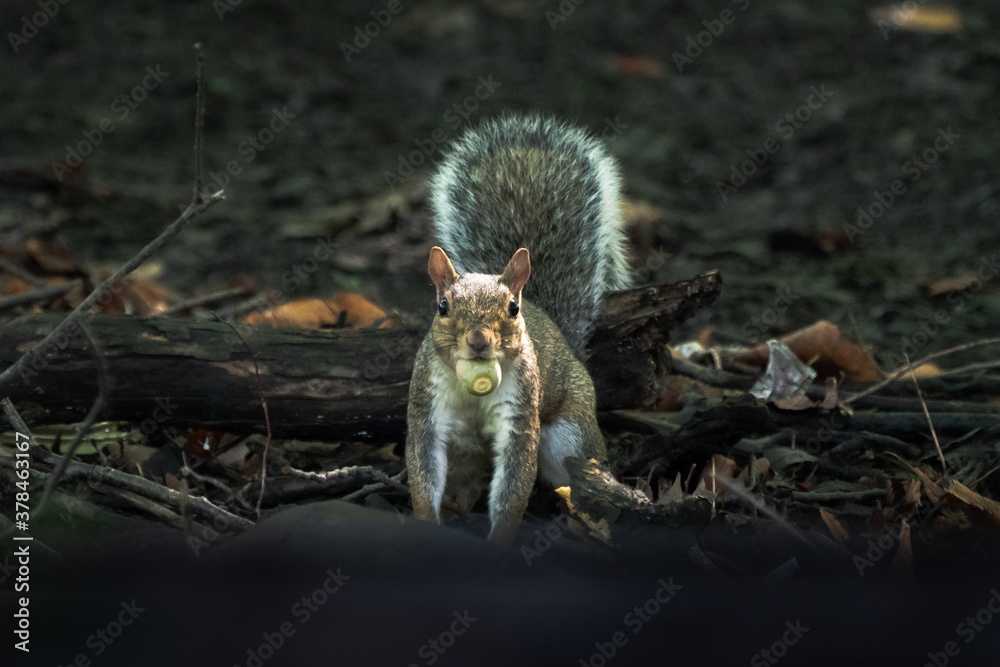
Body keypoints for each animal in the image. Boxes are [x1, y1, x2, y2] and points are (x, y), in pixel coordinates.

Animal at [405, 114, 631, 545]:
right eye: (443, 307)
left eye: (512, 308)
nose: (478, 341)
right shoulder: (427, 408)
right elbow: (423, 470)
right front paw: (426, 524)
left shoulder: (521, 411)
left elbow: (513, 484)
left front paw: (500, 541)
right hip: (463, 450)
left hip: (570, 435)